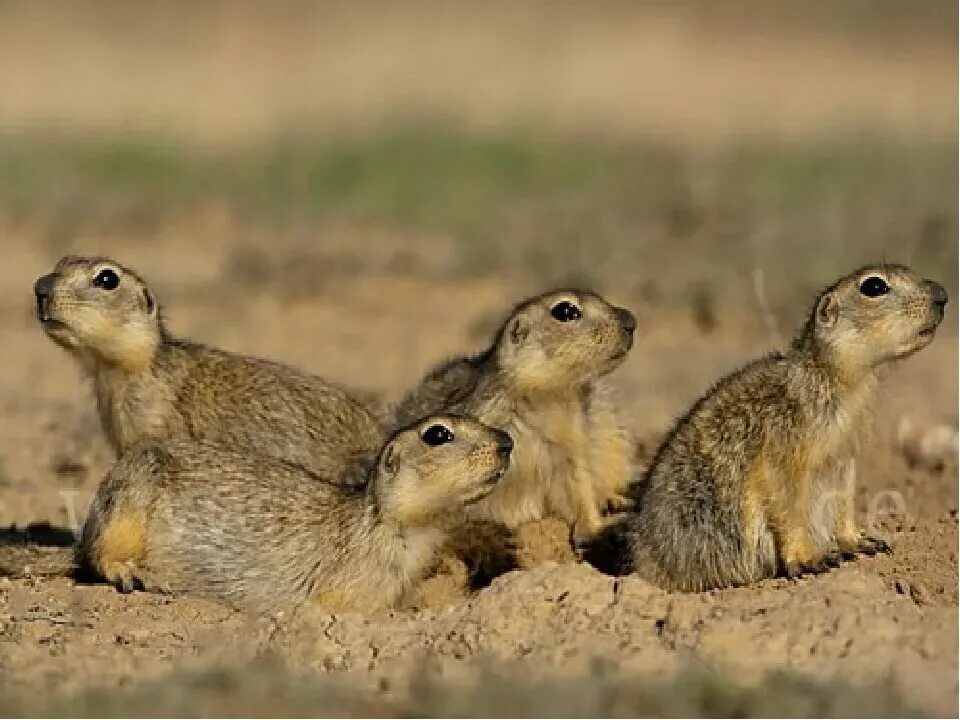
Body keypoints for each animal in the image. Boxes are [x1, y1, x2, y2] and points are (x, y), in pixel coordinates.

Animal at [624, 264, 944, 592]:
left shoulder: (843, 457)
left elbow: (843, 500)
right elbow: (788, 504)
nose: (943, 294)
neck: (836, 381)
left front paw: (860, 541)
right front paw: (808, 559)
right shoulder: (784, 443)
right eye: (874, 286)